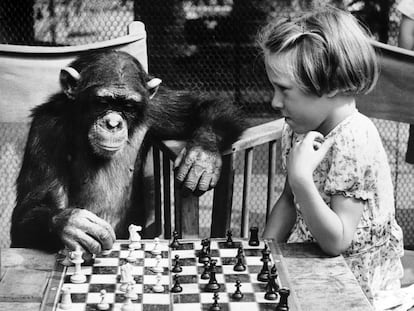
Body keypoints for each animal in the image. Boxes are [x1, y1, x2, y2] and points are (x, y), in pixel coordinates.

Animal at [10, 50, 246, 255]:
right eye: (102, 101)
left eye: (129, 106)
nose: (113, 123)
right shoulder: (46, 130)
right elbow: (31, 207)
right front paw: (72, 224)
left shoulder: (157, 106)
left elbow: (204, 104)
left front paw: (201, 157)